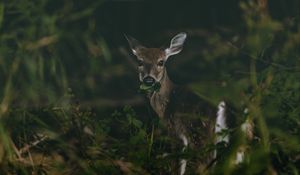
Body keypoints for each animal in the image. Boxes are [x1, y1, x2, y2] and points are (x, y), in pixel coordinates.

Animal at [125, 32, 253, 174]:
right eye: (140, 61)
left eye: (161, 62)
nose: (149, 80)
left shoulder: (175, 130)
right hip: (245, 132)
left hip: (202, 132)